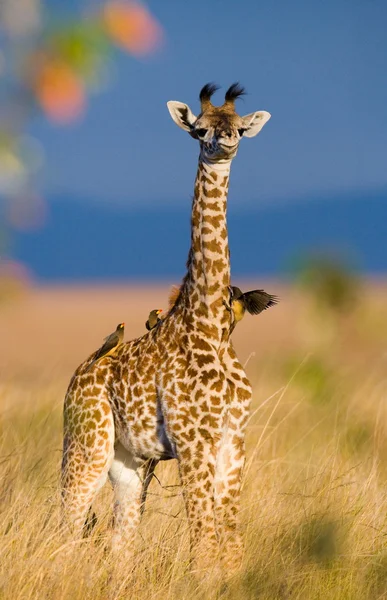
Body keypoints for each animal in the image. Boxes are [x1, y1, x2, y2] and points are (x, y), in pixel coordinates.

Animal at [62, 81, 272, 572]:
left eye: (237, 128)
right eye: (199, 129)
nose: (224, 144)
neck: (209, 326)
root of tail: (75, 380)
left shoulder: (233, 440)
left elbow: (230, 544)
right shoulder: (193, 441)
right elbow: (204, 544)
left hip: (128, 463)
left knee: (119, 542)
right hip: (86, 446)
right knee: (65, 525)